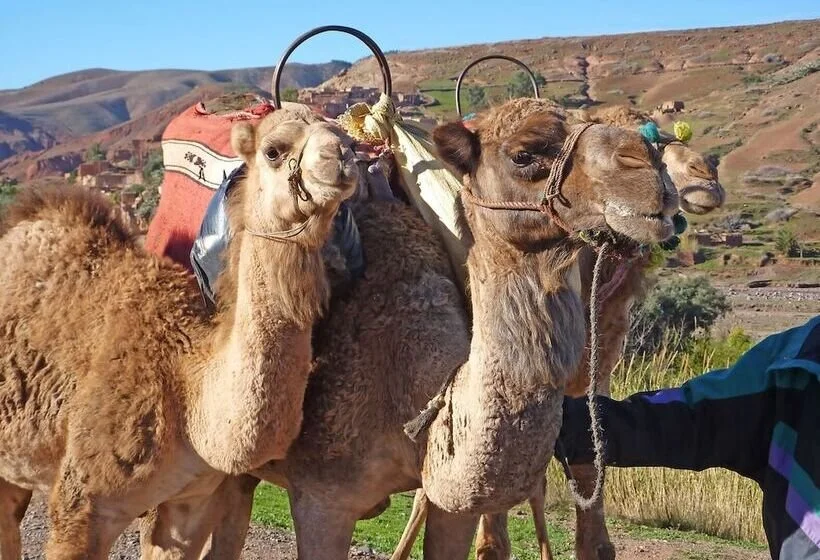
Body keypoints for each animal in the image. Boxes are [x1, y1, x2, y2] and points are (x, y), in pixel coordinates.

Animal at [0, 104, 358, 559]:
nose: (342, 158)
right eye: (274, 150)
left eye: (347, 137)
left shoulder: (193, 502)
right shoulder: (81, 505)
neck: (188, 386)